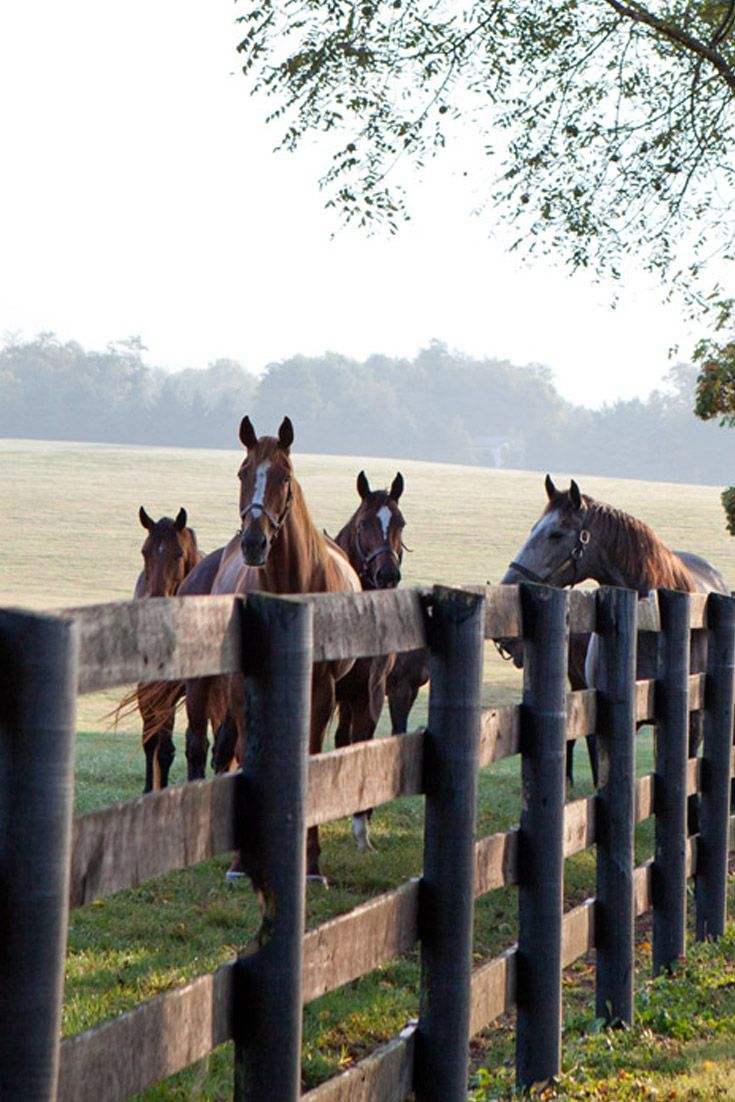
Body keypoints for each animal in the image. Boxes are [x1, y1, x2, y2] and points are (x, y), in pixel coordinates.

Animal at [189, 416, 361, 881]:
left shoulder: (322, 690)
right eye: (242, 473)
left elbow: (312, 756)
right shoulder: (241, 686)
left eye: (285, 477)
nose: (254, 543)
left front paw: (312, 862)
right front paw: (240, 862)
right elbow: (246, 753)